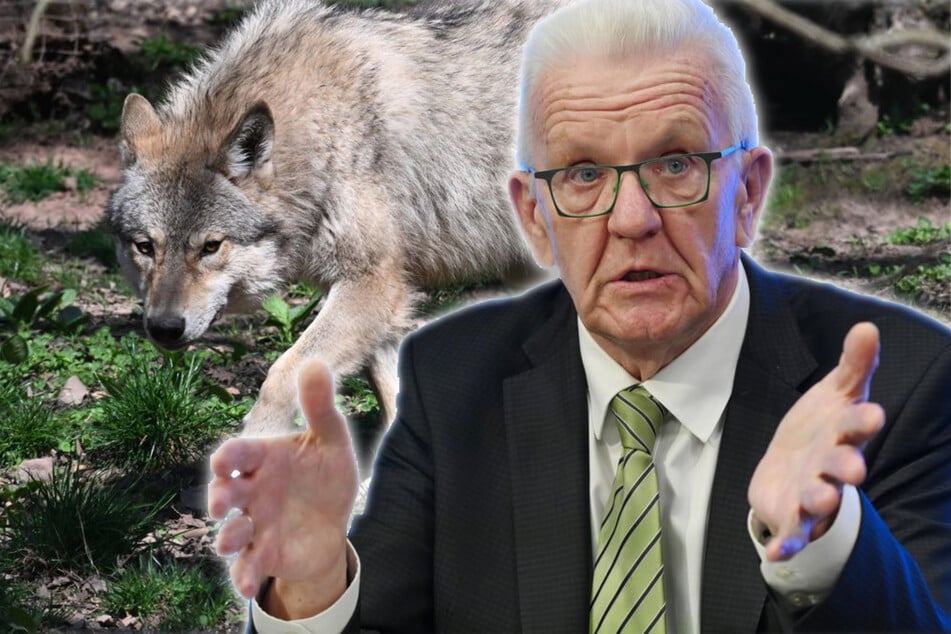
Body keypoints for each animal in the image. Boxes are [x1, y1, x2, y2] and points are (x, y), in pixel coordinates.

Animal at [106, 0, 568, 435]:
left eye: (210, 247)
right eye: (145, 247)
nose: (164, 328)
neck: (322, 129)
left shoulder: (373, 283)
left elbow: (282, 375)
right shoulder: (372, 300)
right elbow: (392, 391)